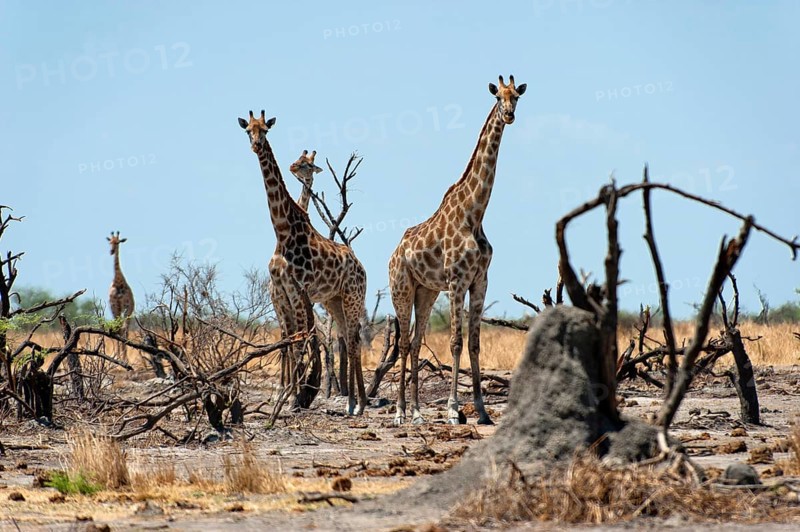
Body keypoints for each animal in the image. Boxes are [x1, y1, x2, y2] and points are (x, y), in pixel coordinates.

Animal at [238, 111, 368, 415]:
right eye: (248, 130)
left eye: (265, 130)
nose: (256, 145)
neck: (282, 231)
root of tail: (362, 267)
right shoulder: (283, 292)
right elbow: (290, 342)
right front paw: (290, 395)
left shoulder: (297, 291)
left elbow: (298, 343)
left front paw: (295, 399)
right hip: (333, 300)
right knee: (348, 338)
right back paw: (355, 402)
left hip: (353, 296)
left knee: (353, 340)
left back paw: (356, 403)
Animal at [388, 75, 527, 425]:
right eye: (498, 97)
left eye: (517, 97)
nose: (509, 115)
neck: (474, 214)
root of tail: (394, 253)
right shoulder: (456, 281)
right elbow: (455, 342)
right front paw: (453, 410)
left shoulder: (480, 281)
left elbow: (475, 344)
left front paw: (481, 411)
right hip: (401, 289)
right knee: (403, 342)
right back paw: (400, 413)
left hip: (425, 292)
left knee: (415, 342)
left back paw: (418, 413)